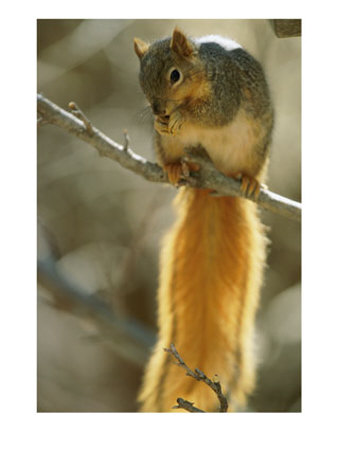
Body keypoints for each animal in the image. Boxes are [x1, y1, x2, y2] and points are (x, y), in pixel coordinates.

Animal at [133, 27, 274, 412]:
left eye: (174, 75)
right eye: (140, 79)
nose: (158, 110)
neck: (201, 72)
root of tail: (215, 180)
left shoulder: (226, 92)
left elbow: (212, 114)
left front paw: (184, 116)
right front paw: (162, 121)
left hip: (254, 148)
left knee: (248, 168)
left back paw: (249, 180)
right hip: (170, 149)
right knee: (174, 157)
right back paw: (174, 168)